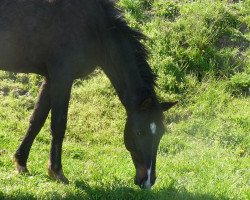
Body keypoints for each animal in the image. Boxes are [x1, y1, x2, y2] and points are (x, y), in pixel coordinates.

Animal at [0, 0, 177, 189]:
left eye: (161, 133)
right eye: (139, 132)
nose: (148, 180)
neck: (94, 27)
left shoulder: (50, 79)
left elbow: (36, 120)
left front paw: (21, 162)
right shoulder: (62, 77)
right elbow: (58, 124)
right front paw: (57, 172)